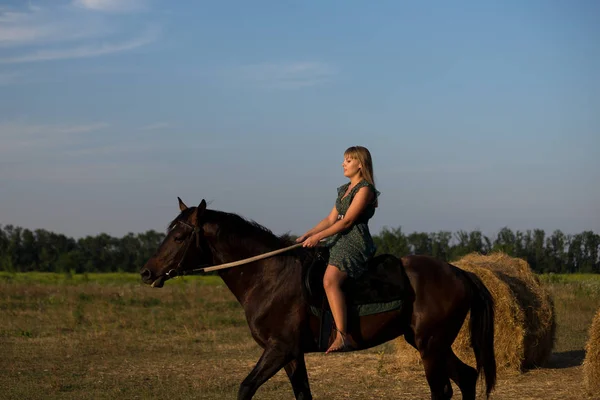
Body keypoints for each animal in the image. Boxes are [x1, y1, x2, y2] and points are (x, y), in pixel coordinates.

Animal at [141, 199, 496, 400]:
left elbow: (245, 388)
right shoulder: (292, 354)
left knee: (444, 390)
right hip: (432, 343)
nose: (147, 272)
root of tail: (460, 272)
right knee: (467, 378)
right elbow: (303, 395)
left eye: (179, 236)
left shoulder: (279, 349)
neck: (269, 275)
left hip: (430, 345)